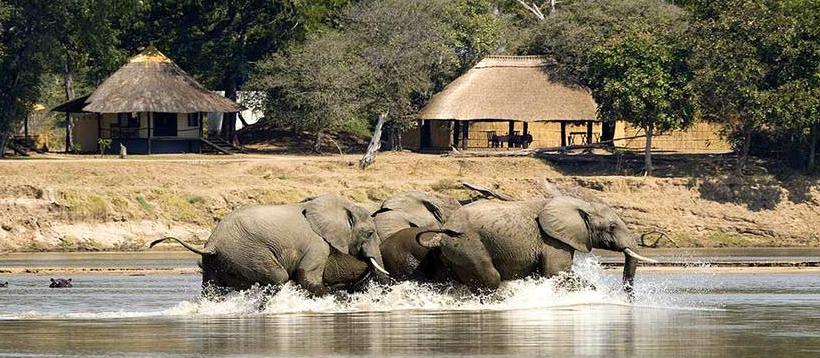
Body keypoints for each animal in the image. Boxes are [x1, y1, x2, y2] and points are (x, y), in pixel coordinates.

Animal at [150, 194, 388, 296]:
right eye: (369, 233)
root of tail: (212, 243)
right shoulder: (317, 244)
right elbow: (306, 276)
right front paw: (337, 296)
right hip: (248, 253)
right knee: (278, 278)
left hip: (215, 263)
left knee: (213, 290)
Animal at [426, 197, 656, 292]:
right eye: (612, 227)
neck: (580, 204)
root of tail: (444, 229)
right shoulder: (552, 240)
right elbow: (556, 273)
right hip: (468, 246)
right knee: (491, 280)